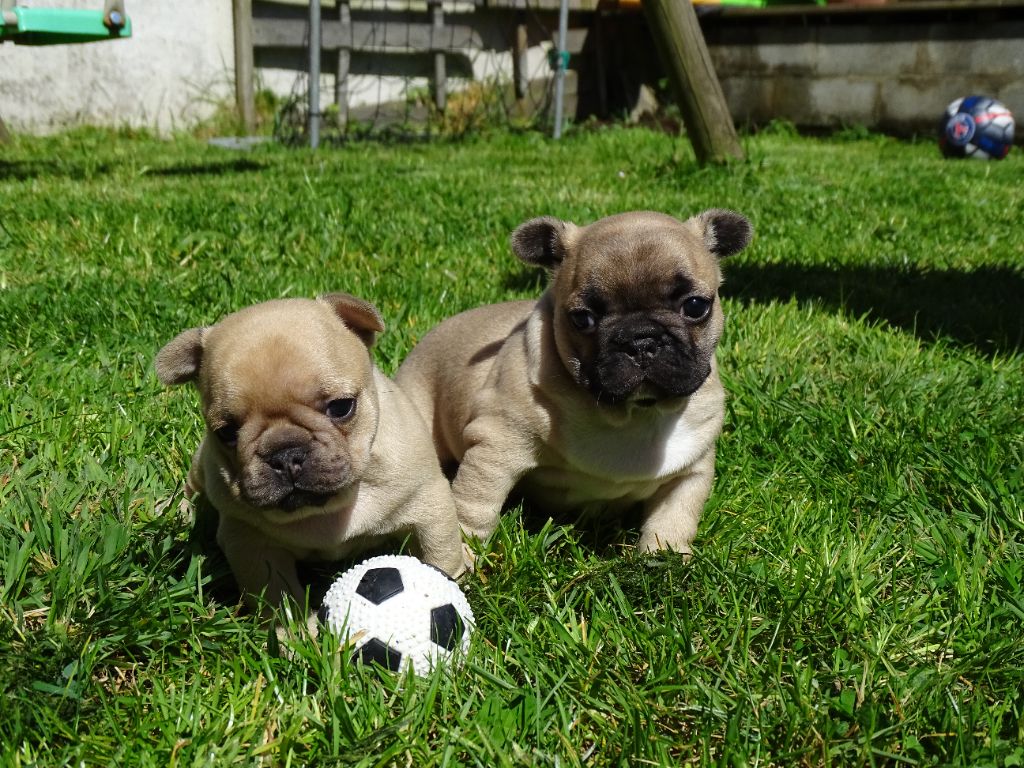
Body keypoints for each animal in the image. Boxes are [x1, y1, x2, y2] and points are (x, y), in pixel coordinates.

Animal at [156, 292, 468, 614]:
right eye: (227, 433)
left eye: (341, 407)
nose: (285, 454)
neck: (329, 506)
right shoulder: (249, 543)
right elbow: (276, 596)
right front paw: (294, 628)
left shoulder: (428, 503)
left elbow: (439, 553)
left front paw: (453, 581)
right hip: (200, 466)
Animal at [395, 211, 749, 552]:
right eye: (583, 319)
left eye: (695, 306)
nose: (641, 340)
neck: (636, 414)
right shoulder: (497, 444)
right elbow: (475, 506)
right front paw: (463, 556)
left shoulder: (692, 471)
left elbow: (674, 518)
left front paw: (664, 560)